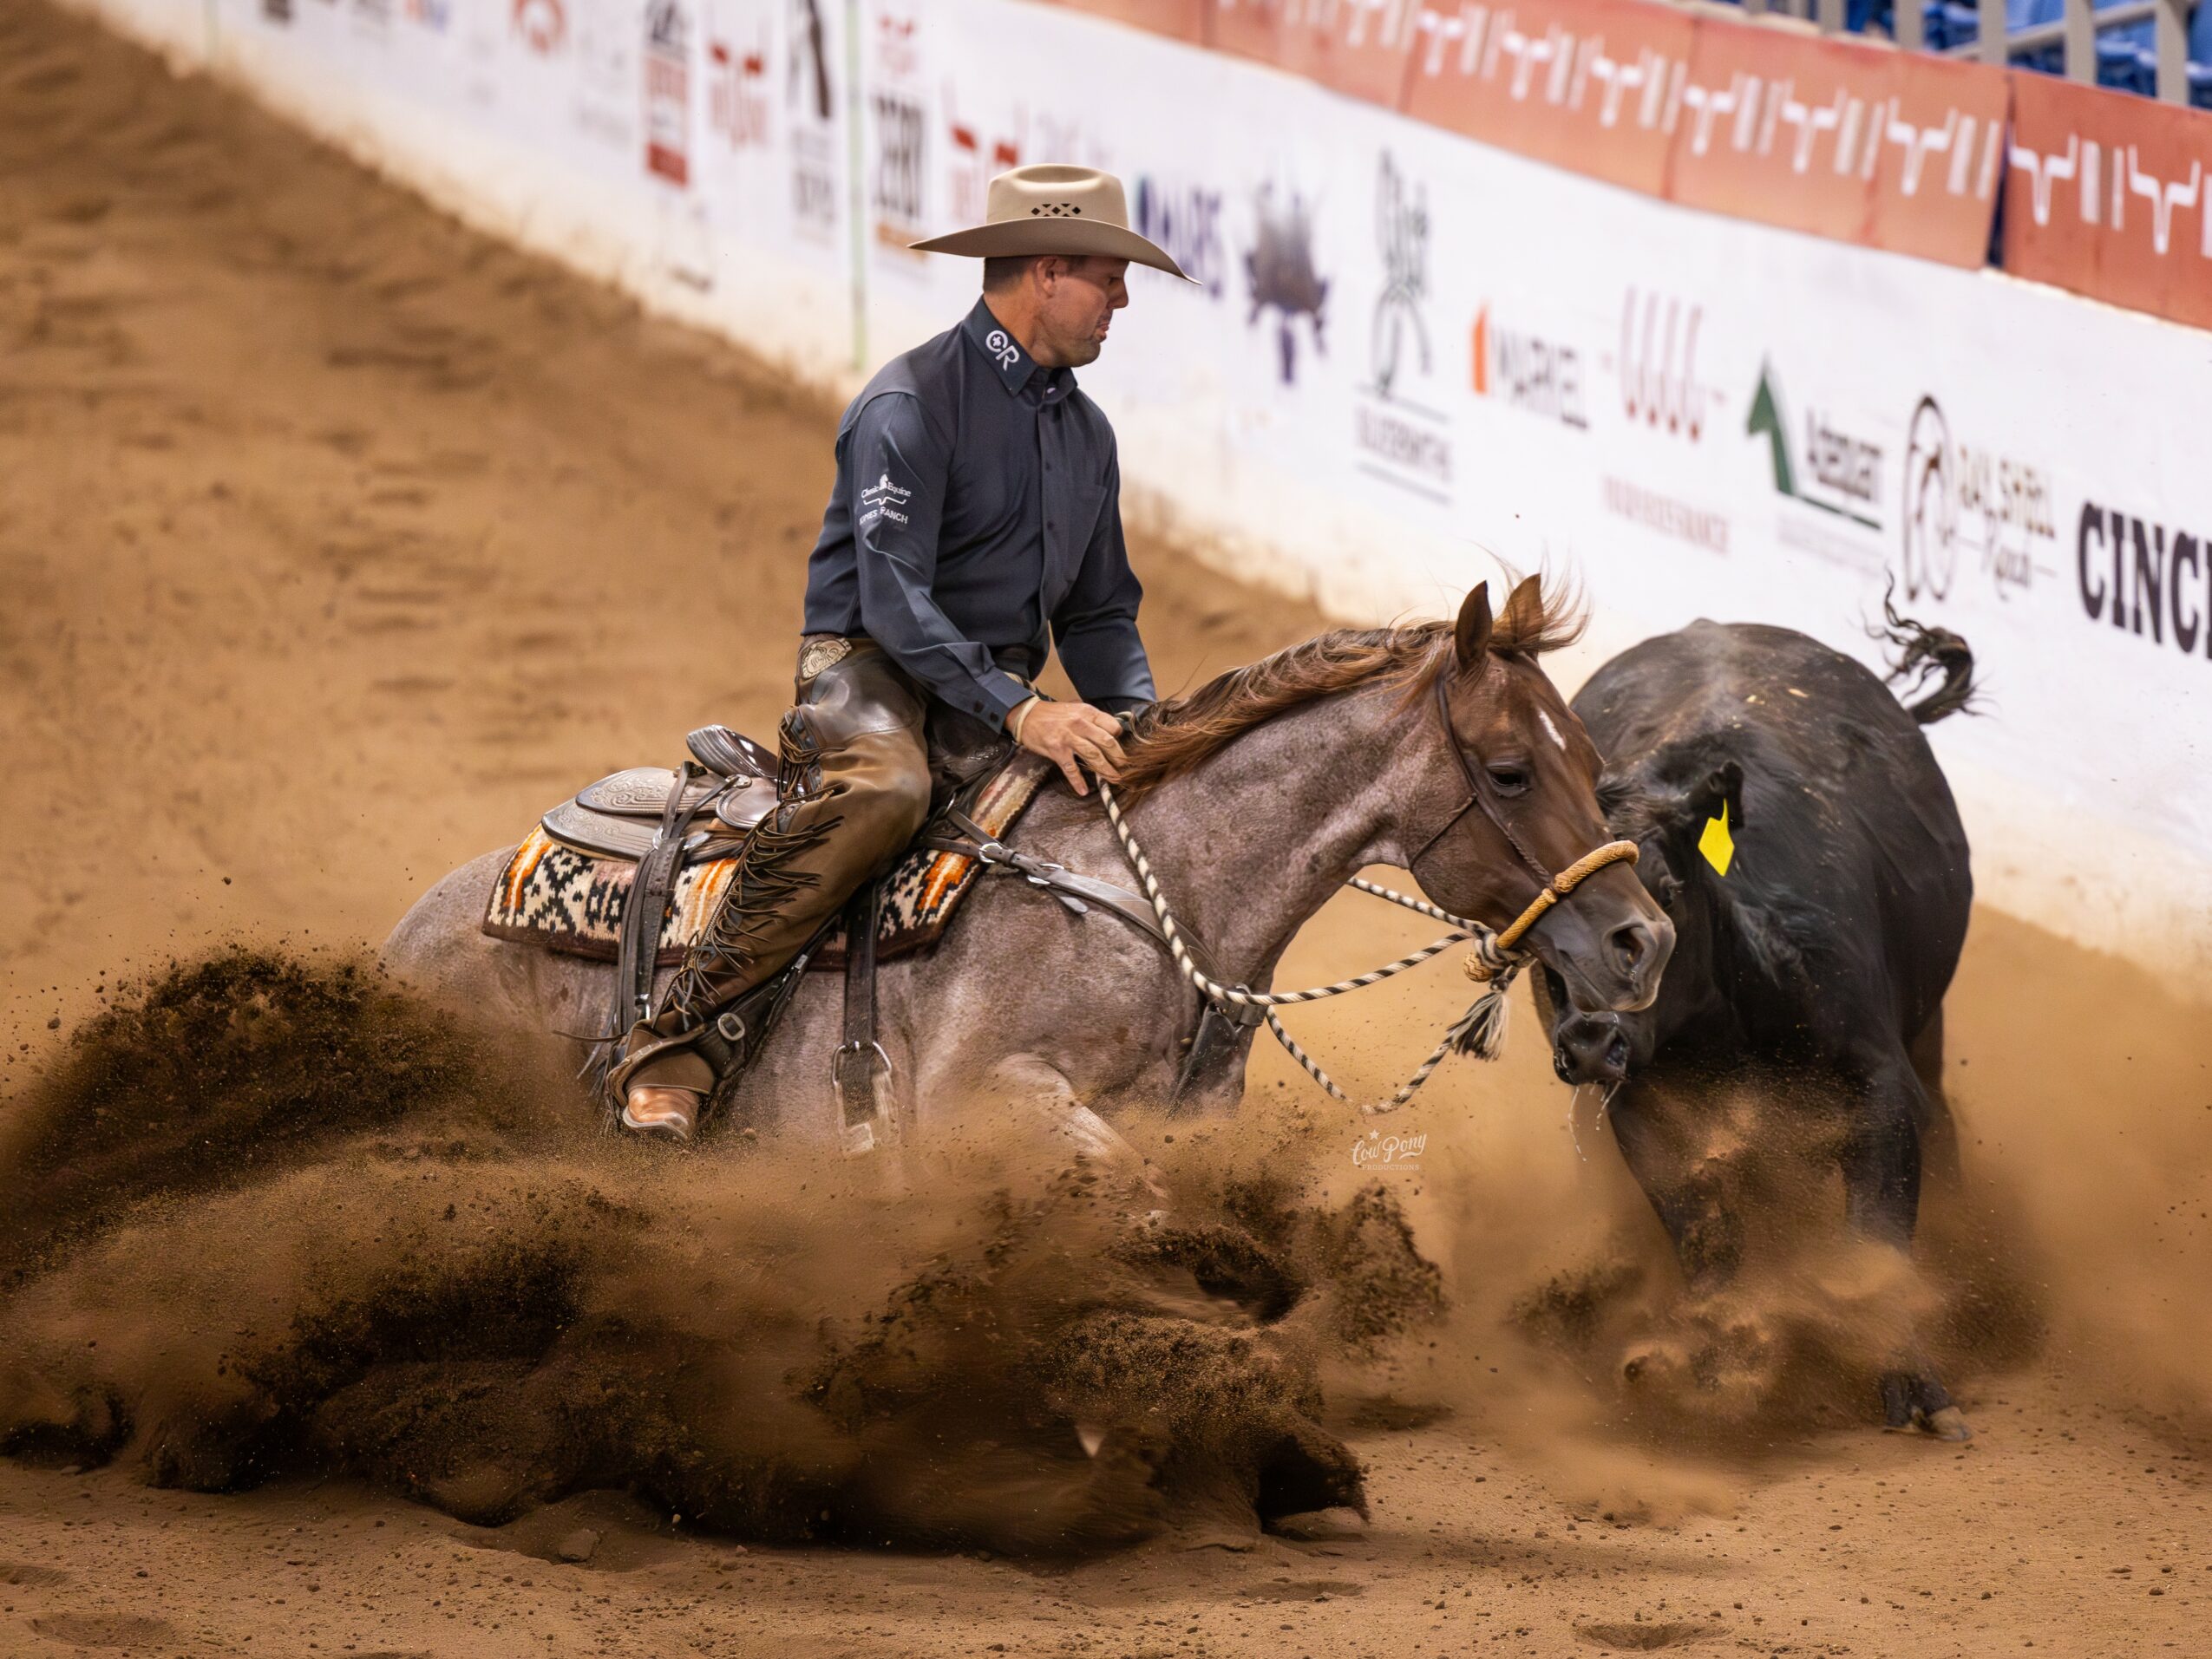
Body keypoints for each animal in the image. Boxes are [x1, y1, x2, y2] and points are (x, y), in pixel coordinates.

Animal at [1538, 608, 1978, 1440]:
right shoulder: (1641, 1108)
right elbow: (1708, 1237)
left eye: (1667, 889)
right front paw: (1717, 1365)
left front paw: (1914, 1385)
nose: (1589, 1039)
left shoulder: (1881, 1081)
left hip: (1928, 1023)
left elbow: (1875, 1238)